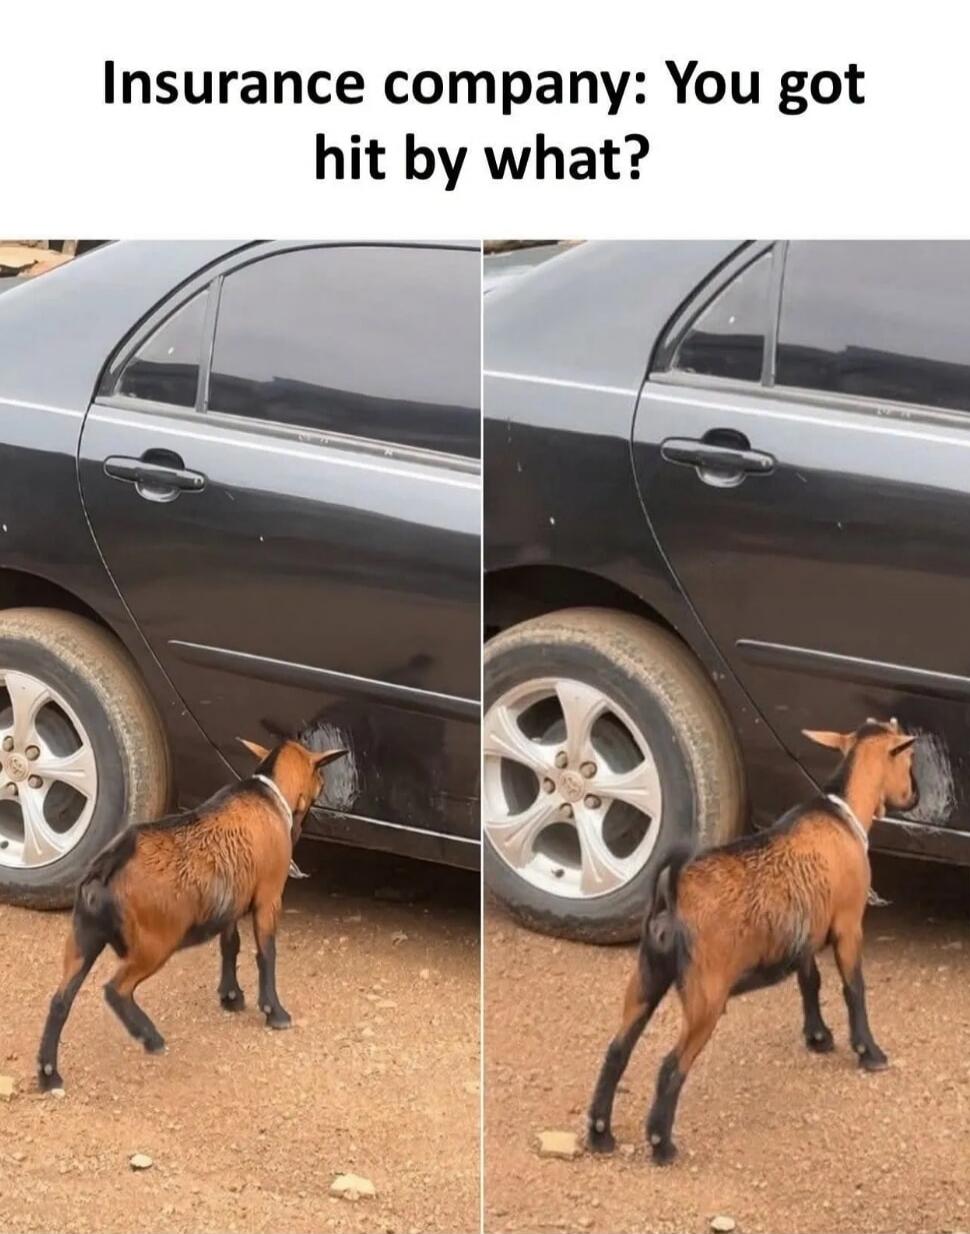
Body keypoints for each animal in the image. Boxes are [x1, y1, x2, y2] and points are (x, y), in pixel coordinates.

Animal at [38, 738, 346, 1092]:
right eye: (320, 776)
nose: (325, 792)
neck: (267, 795)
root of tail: (109, 863)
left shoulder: (232, 900)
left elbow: (231, 945)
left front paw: (231, 997)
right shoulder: (268, 897)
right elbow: (266, 953)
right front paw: (275, 1013)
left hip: (83, 938)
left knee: (60, 1001)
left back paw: (49, 1075)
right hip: (154, 942)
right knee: (116, 989)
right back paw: (150, 1037)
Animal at [587, 718, 918, 1164]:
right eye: (909, 760)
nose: (913, 796)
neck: (839, 811)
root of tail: (671, 899)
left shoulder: (805, 929)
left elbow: (809, 981)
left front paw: (818, 1037)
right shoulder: (849, 923)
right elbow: (854, 989)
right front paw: (869, 1052)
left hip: (646, 976)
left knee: (617, 1050)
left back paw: (600, 1135)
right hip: (706, 995)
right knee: (671, 1066)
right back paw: (662, 1144)